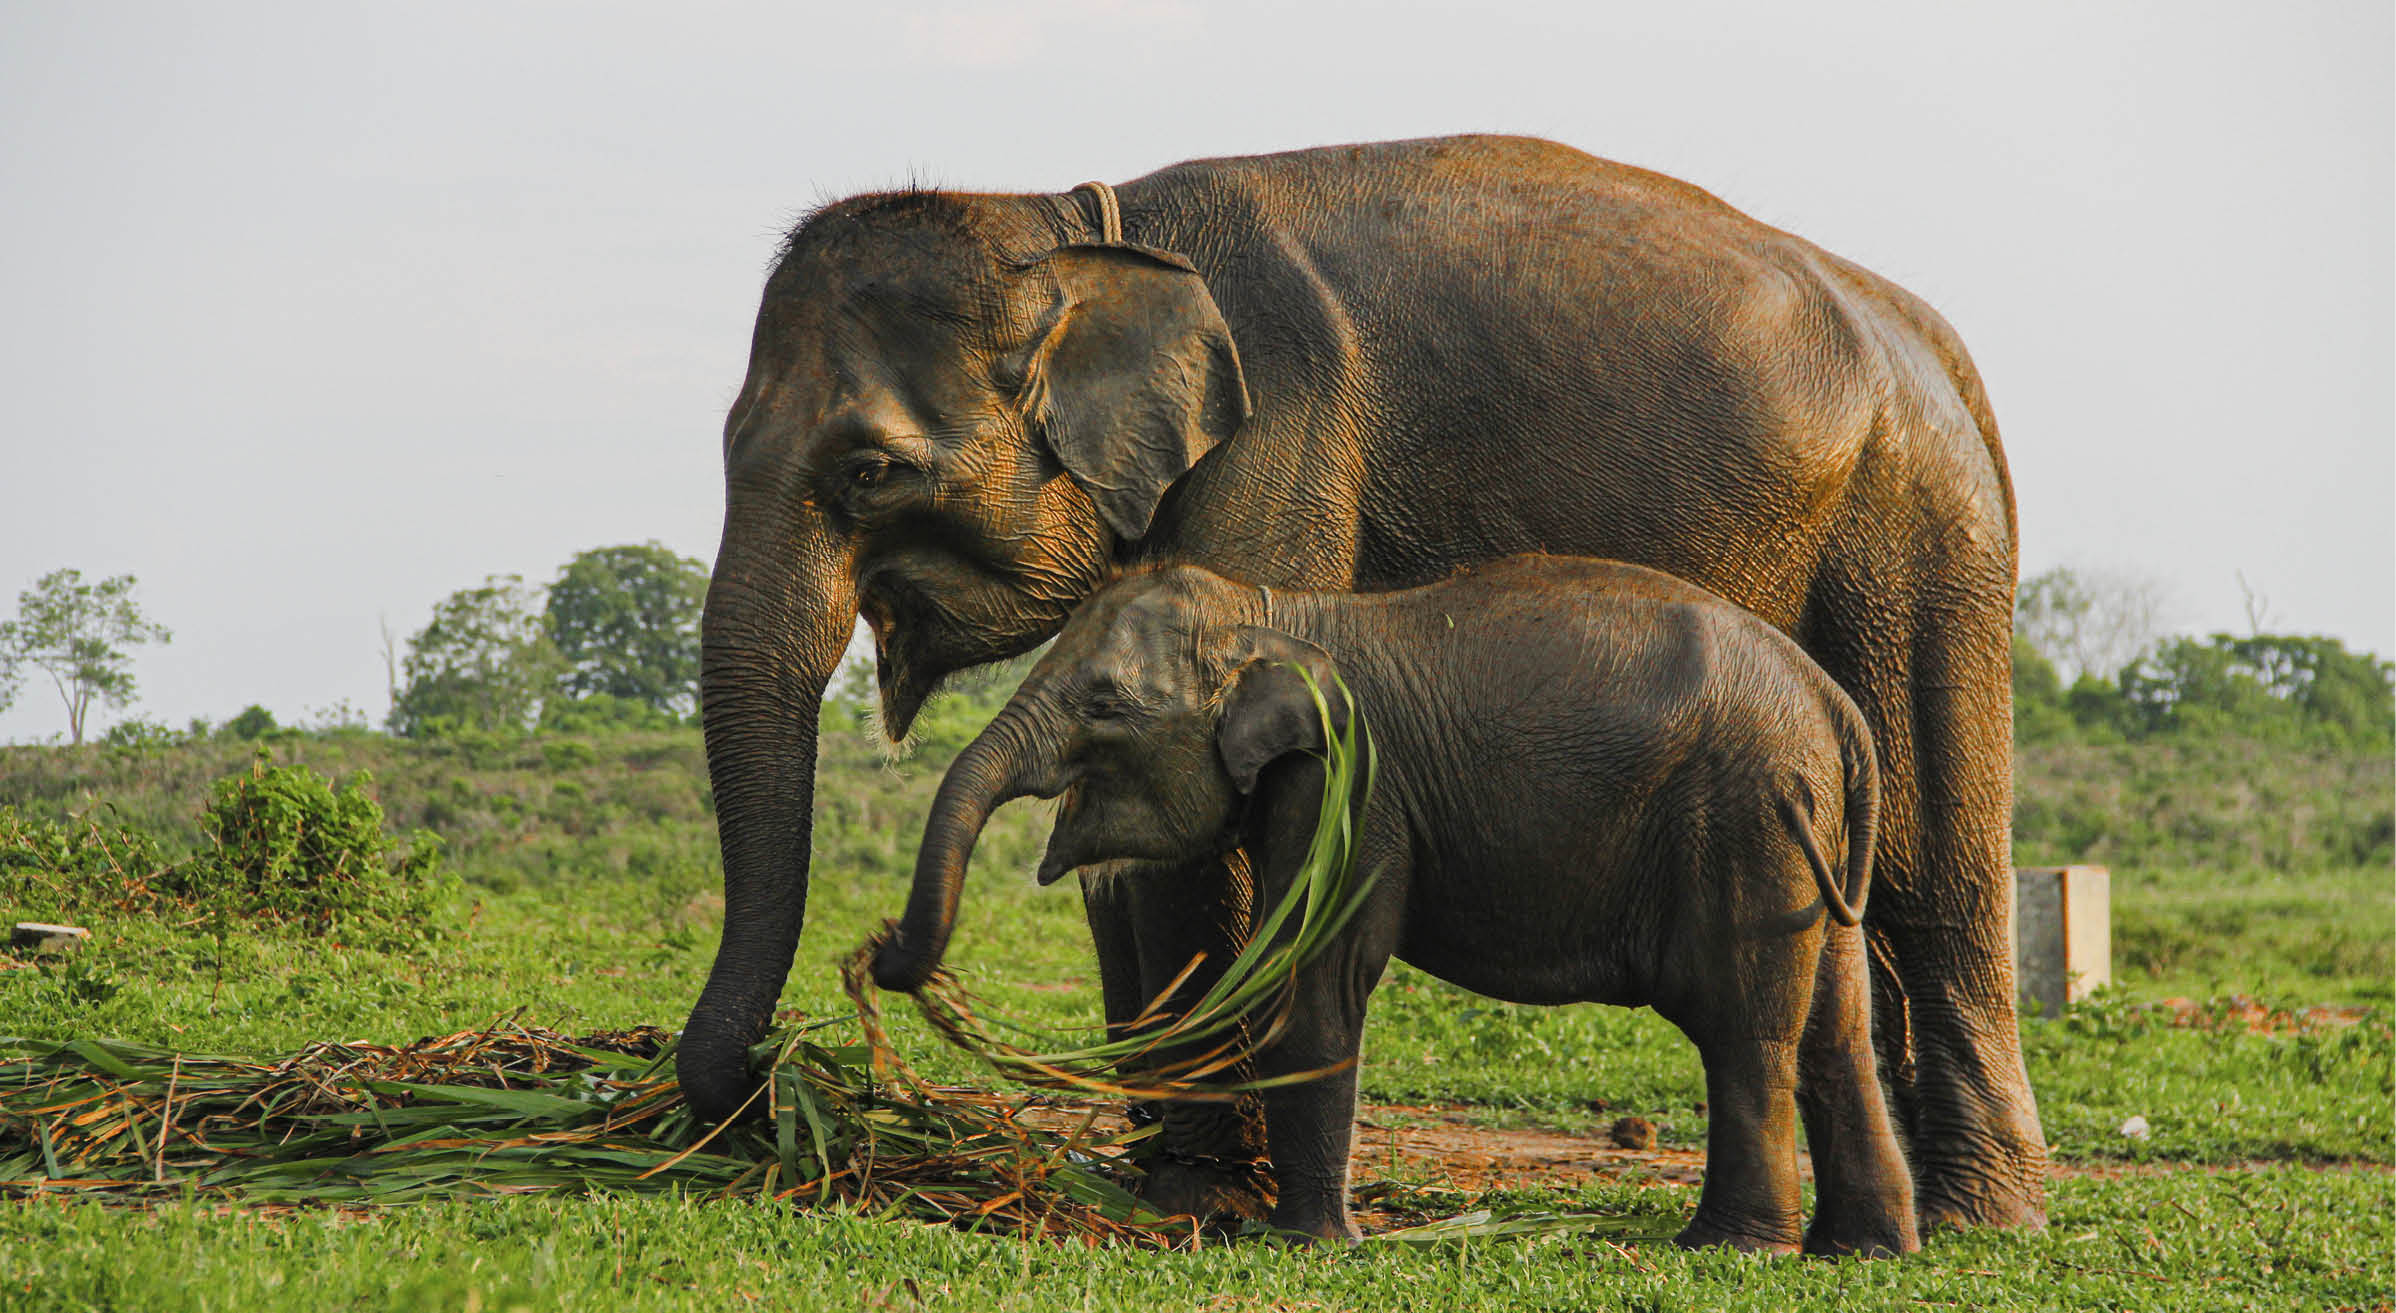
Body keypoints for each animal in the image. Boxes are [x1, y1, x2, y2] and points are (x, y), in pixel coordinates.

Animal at [869, 556, 1921, 1256]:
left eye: (1104, 704)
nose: (881, 949)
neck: (1268, 612)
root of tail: (1839, 710)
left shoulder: (1349, 783)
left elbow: (1317, 977)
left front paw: (1304, 1244)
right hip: (1806, 836)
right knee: (1835, 1029)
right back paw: (1864, 1250)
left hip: (1745, 820)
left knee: (1745, 1031)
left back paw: (1731, 1248)